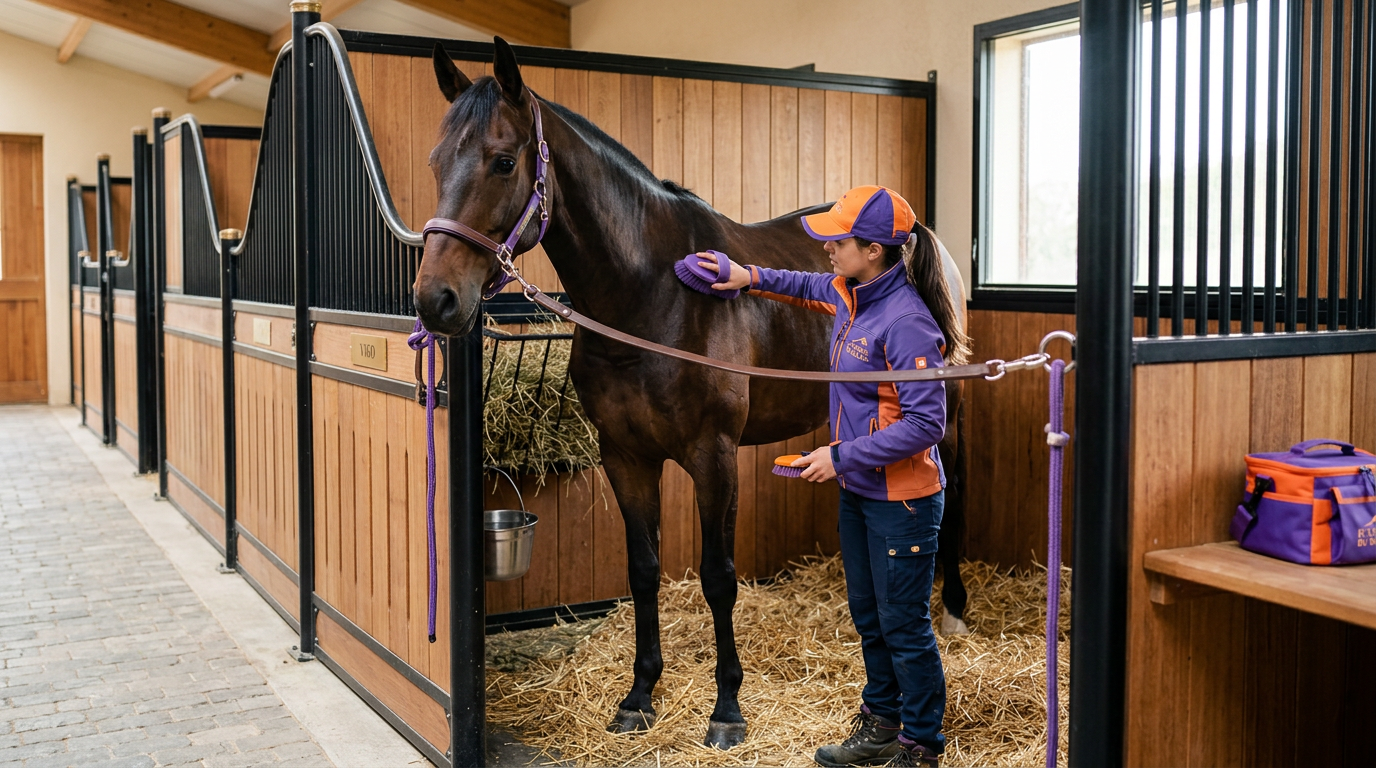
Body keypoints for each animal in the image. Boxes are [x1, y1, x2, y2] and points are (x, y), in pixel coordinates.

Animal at [413, 38, 970, 748]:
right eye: (436, 162)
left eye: (503, 161)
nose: (436, 301)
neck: (651, 295)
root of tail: (923, 235)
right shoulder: (626, 456)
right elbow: (644, 570)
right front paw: (639, 696)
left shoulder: (714, 456)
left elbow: (719, 576)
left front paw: (727, 708)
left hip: (946, 414)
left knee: (949, 495)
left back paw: (953, 610)